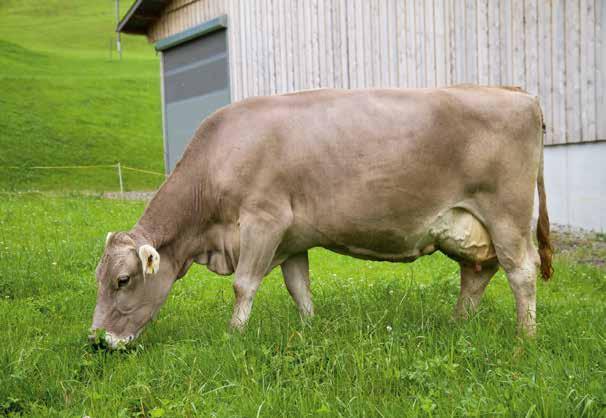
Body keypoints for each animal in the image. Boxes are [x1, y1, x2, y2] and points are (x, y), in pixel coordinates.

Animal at [91, 85, 556, 350]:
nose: (96, 341)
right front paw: (310, 328)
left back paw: (526, 336)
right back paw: (458, 326)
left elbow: (243, 284)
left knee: (521, 271)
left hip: (507, 215)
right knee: (477, 273)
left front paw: (232, 336)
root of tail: (520, 94)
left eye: (123, 280)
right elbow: (300, 288)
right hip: (468, 227)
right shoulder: (292, 239)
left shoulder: (264, 220)